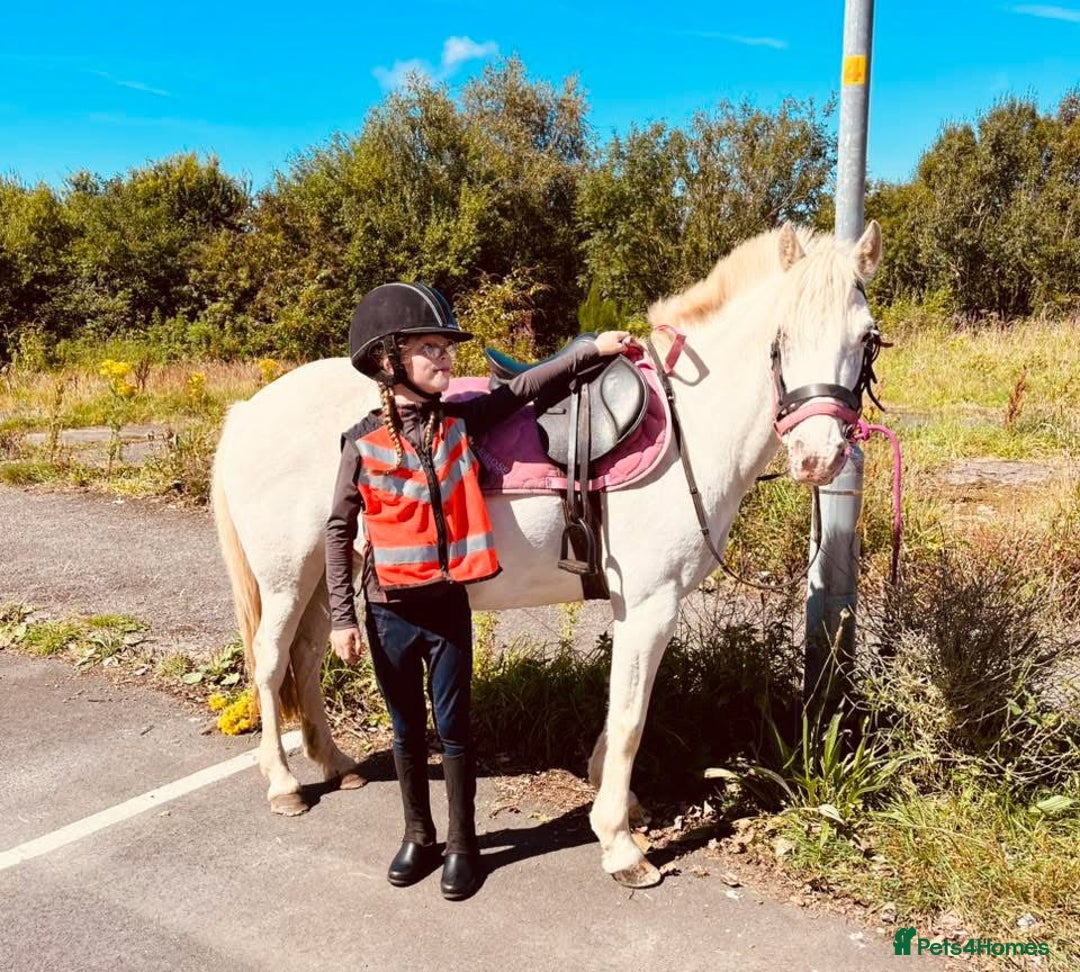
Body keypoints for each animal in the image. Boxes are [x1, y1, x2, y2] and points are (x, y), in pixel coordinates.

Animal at [211, 220, 883, 888]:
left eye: (867, 338)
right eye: (782, 338)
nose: (819, 457)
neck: (688, 429)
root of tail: (248, 412)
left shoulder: (640, 610)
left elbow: (620, 710)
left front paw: (617, 800)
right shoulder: (650, 605)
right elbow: (632, 717)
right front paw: (619, 843)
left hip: (325, 574)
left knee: (306, 657)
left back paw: (333, 760)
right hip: (286, 579)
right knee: (270, 662)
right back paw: (283, 782)